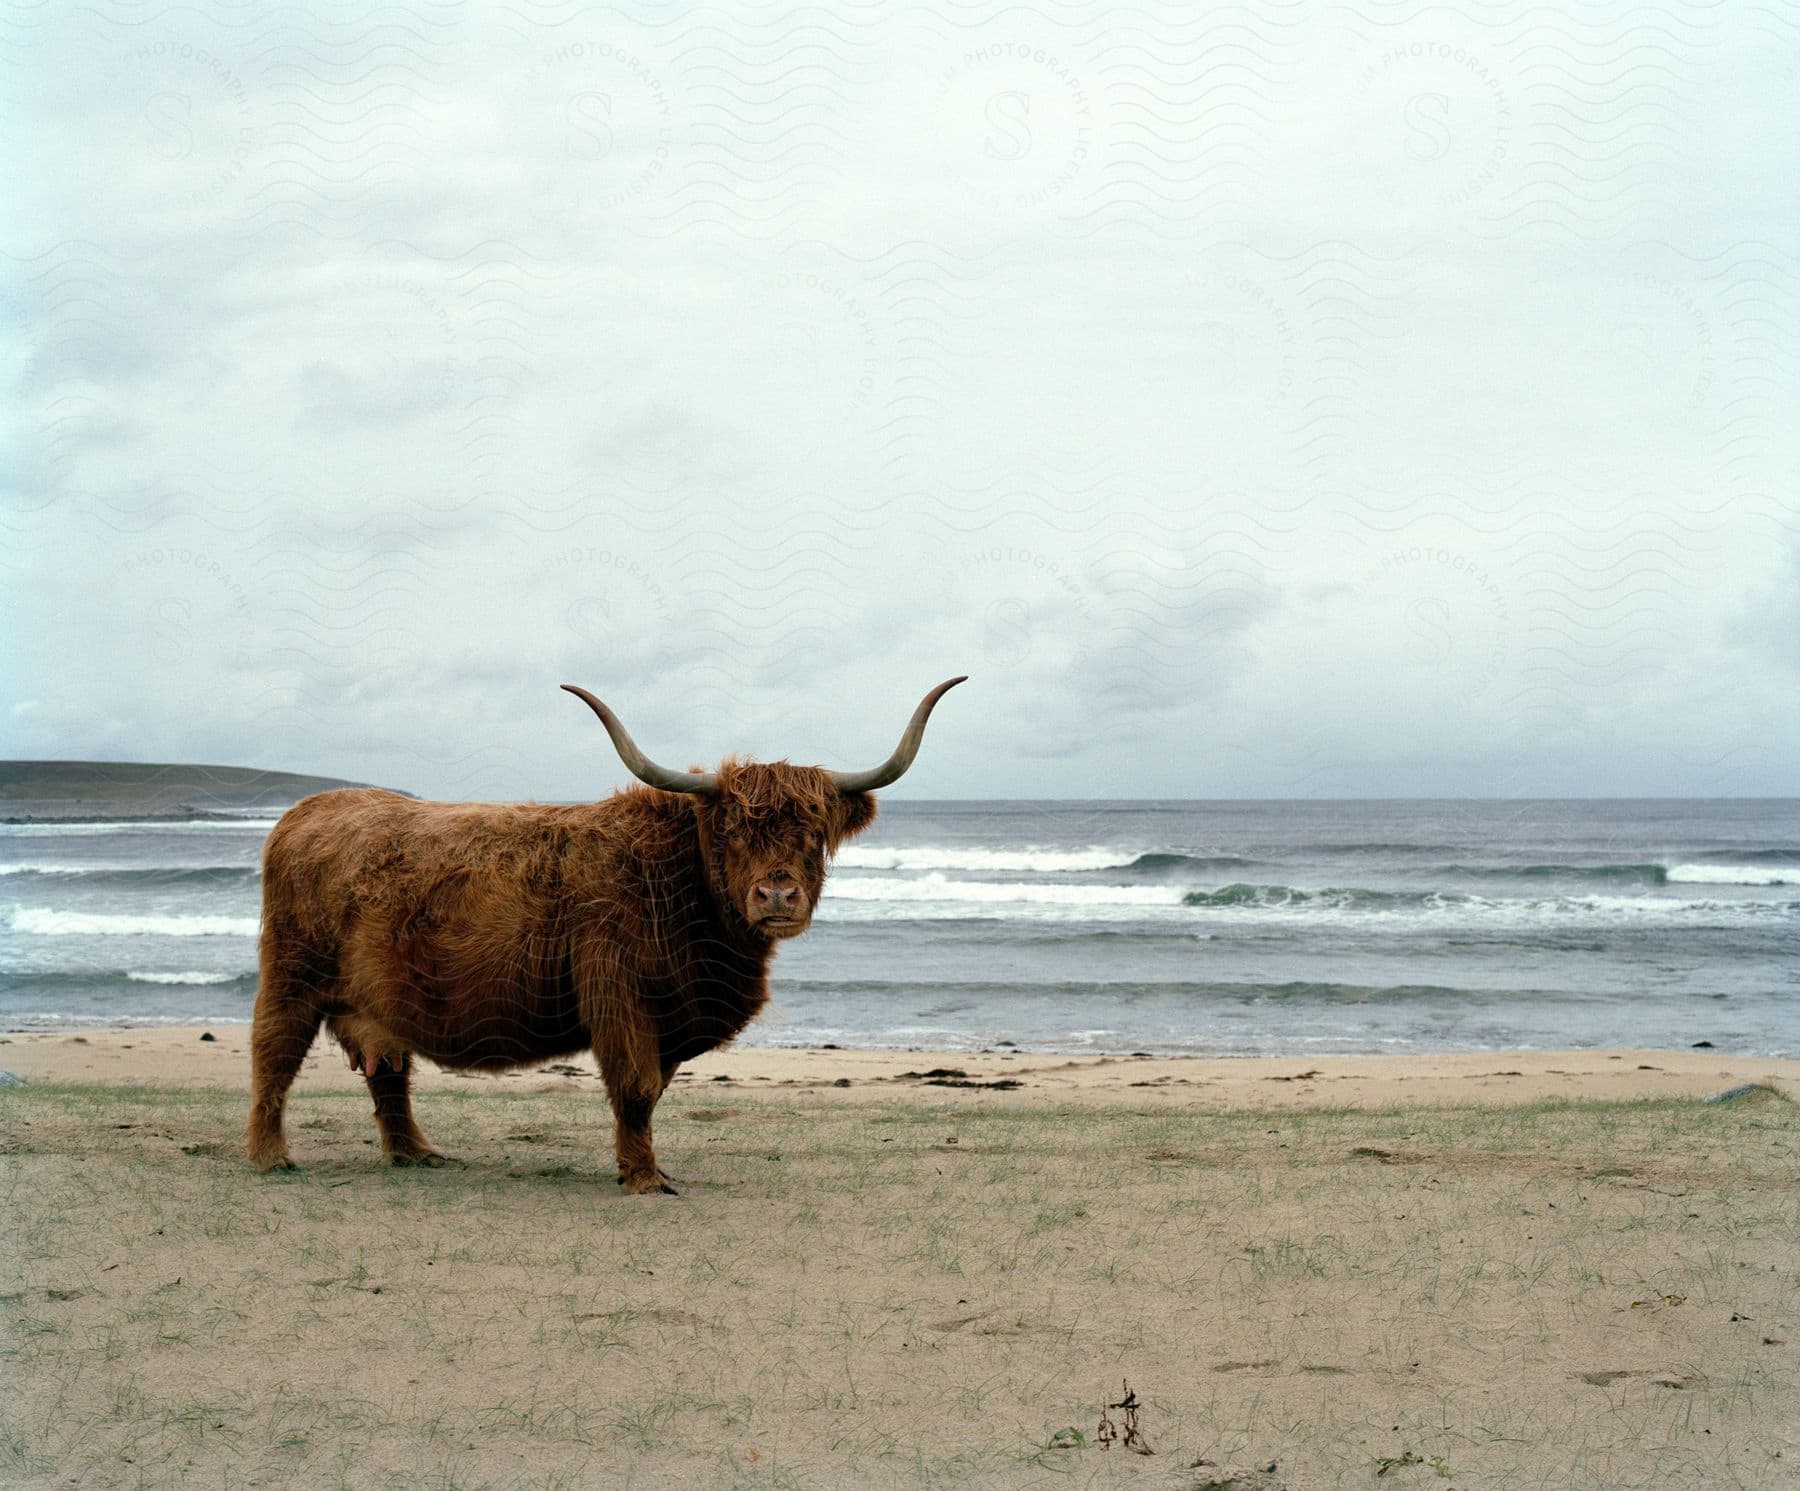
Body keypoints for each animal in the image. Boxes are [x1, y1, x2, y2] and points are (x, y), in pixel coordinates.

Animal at [250, 680, 972, 1195]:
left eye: (812, 830)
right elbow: (636, 1087)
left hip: (374, 1000)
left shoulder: (672, 1017)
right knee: (274, 1055)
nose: (776, 896)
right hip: (290, 976)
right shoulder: (618, 996)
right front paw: (644, 1179)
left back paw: (417, 1154)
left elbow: (652, 1091)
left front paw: (647, 1166)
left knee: (388, 1072)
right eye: (732, 832)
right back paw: (269, 1156)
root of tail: (308, 810)